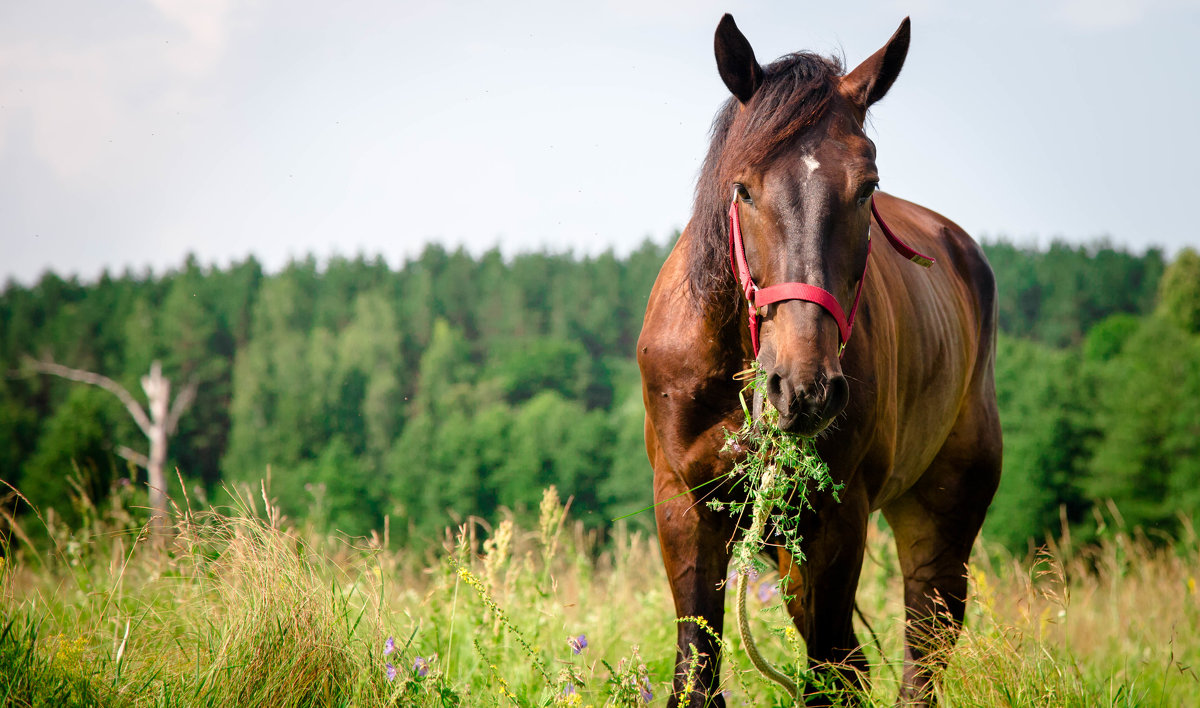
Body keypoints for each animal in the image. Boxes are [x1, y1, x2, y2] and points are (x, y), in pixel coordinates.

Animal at [638, 12, 1003, 708]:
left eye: (868, 188)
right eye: (744, 188)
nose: (804, 389)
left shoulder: (835, 519)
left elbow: (831, 673)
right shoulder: (685, 506)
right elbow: (697, 671)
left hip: (940, 515)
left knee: (922, 644)